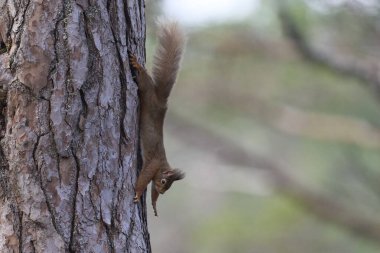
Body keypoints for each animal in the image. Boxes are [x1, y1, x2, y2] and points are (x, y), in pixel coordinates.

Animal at [129, 20, 186, 216]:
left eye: (168, 187)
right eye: (164, 182)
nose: (162, 192)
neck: (163, 166)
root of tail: (161, 102)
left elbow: (152, 191)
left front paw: (154, 204)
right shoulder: (153, 166)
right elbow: (143, 179)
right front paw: (138, 193)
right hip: (146, 91)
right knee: (144, 80)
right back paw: (136, 64)